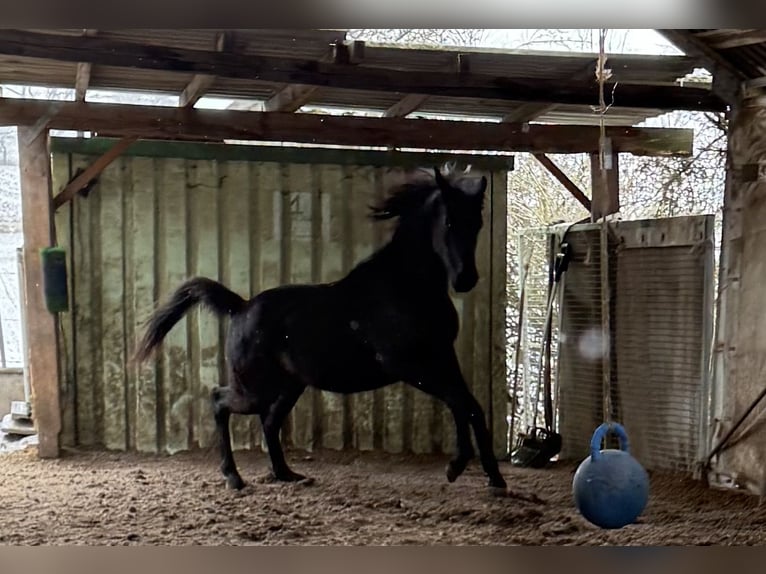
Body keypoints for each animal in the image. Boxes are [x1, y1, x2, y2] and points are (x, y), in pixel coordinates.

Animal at [134, 165, 508, 492]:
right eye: (449, 221)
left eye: (477, 223)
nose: (465, 279)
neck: (406, 286)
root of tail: (240, 307)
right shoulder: (408, 364)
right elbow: (459, 402)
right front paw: (456, 466)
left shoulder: (443, 357)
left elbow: (471, 405)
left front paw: (494, 478)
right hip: (257, 388)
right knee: (219, 401)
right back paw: (234, 478)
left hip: (290, 385)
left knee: (268, 421)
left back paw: (286, 474)